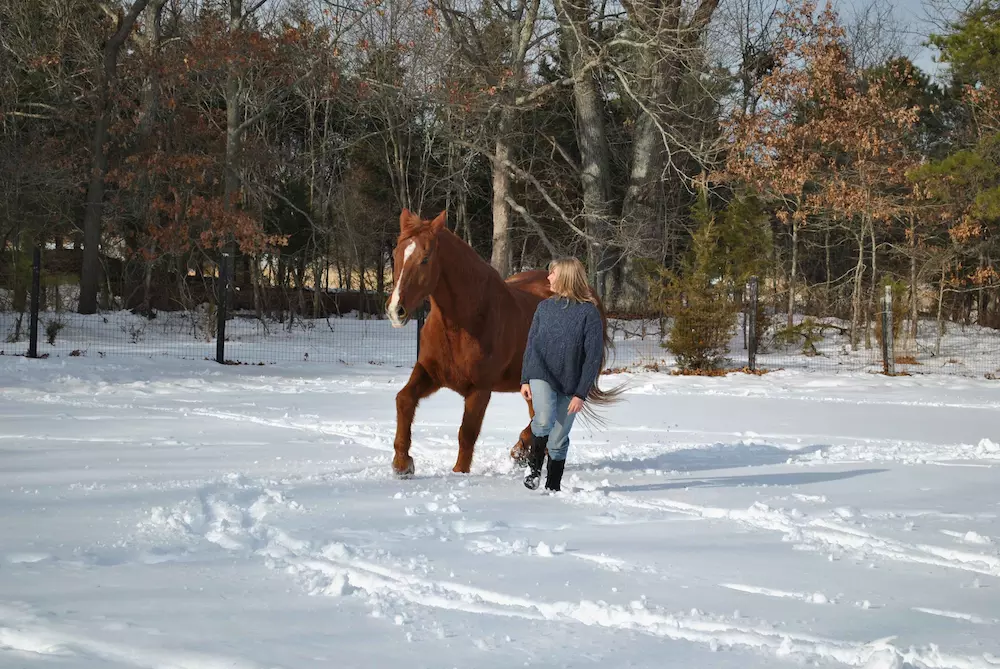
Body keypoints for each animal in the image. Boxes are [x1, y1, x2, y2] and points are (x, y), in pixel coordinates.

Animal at [386, 208, 619, 477]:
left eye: (425, 258)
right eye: (396, 254)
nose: (396, 310)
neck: (463, 323)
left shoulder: (480, 389)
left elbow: (467, 433)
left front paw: (459, 473)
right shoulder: (430, 373)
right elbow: (404, 400)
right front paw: (402, 463)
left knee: (544, 419)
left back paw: (521, 451)